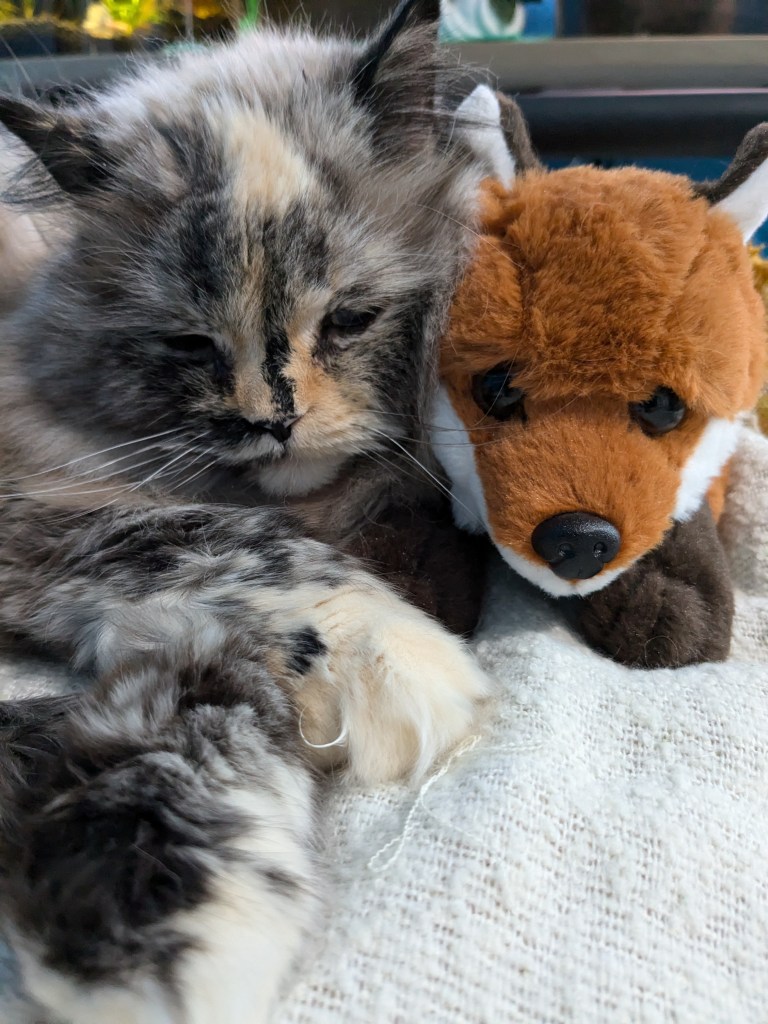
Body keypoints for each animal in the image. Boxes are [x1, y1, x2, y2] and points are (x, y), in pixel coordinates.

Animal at [0, 3, 495, 1021]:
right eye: (190, 343)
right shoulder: (48, 509)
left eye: (348, 320)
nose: (273, 421)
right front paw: (399, 656)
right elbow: (237, 551)